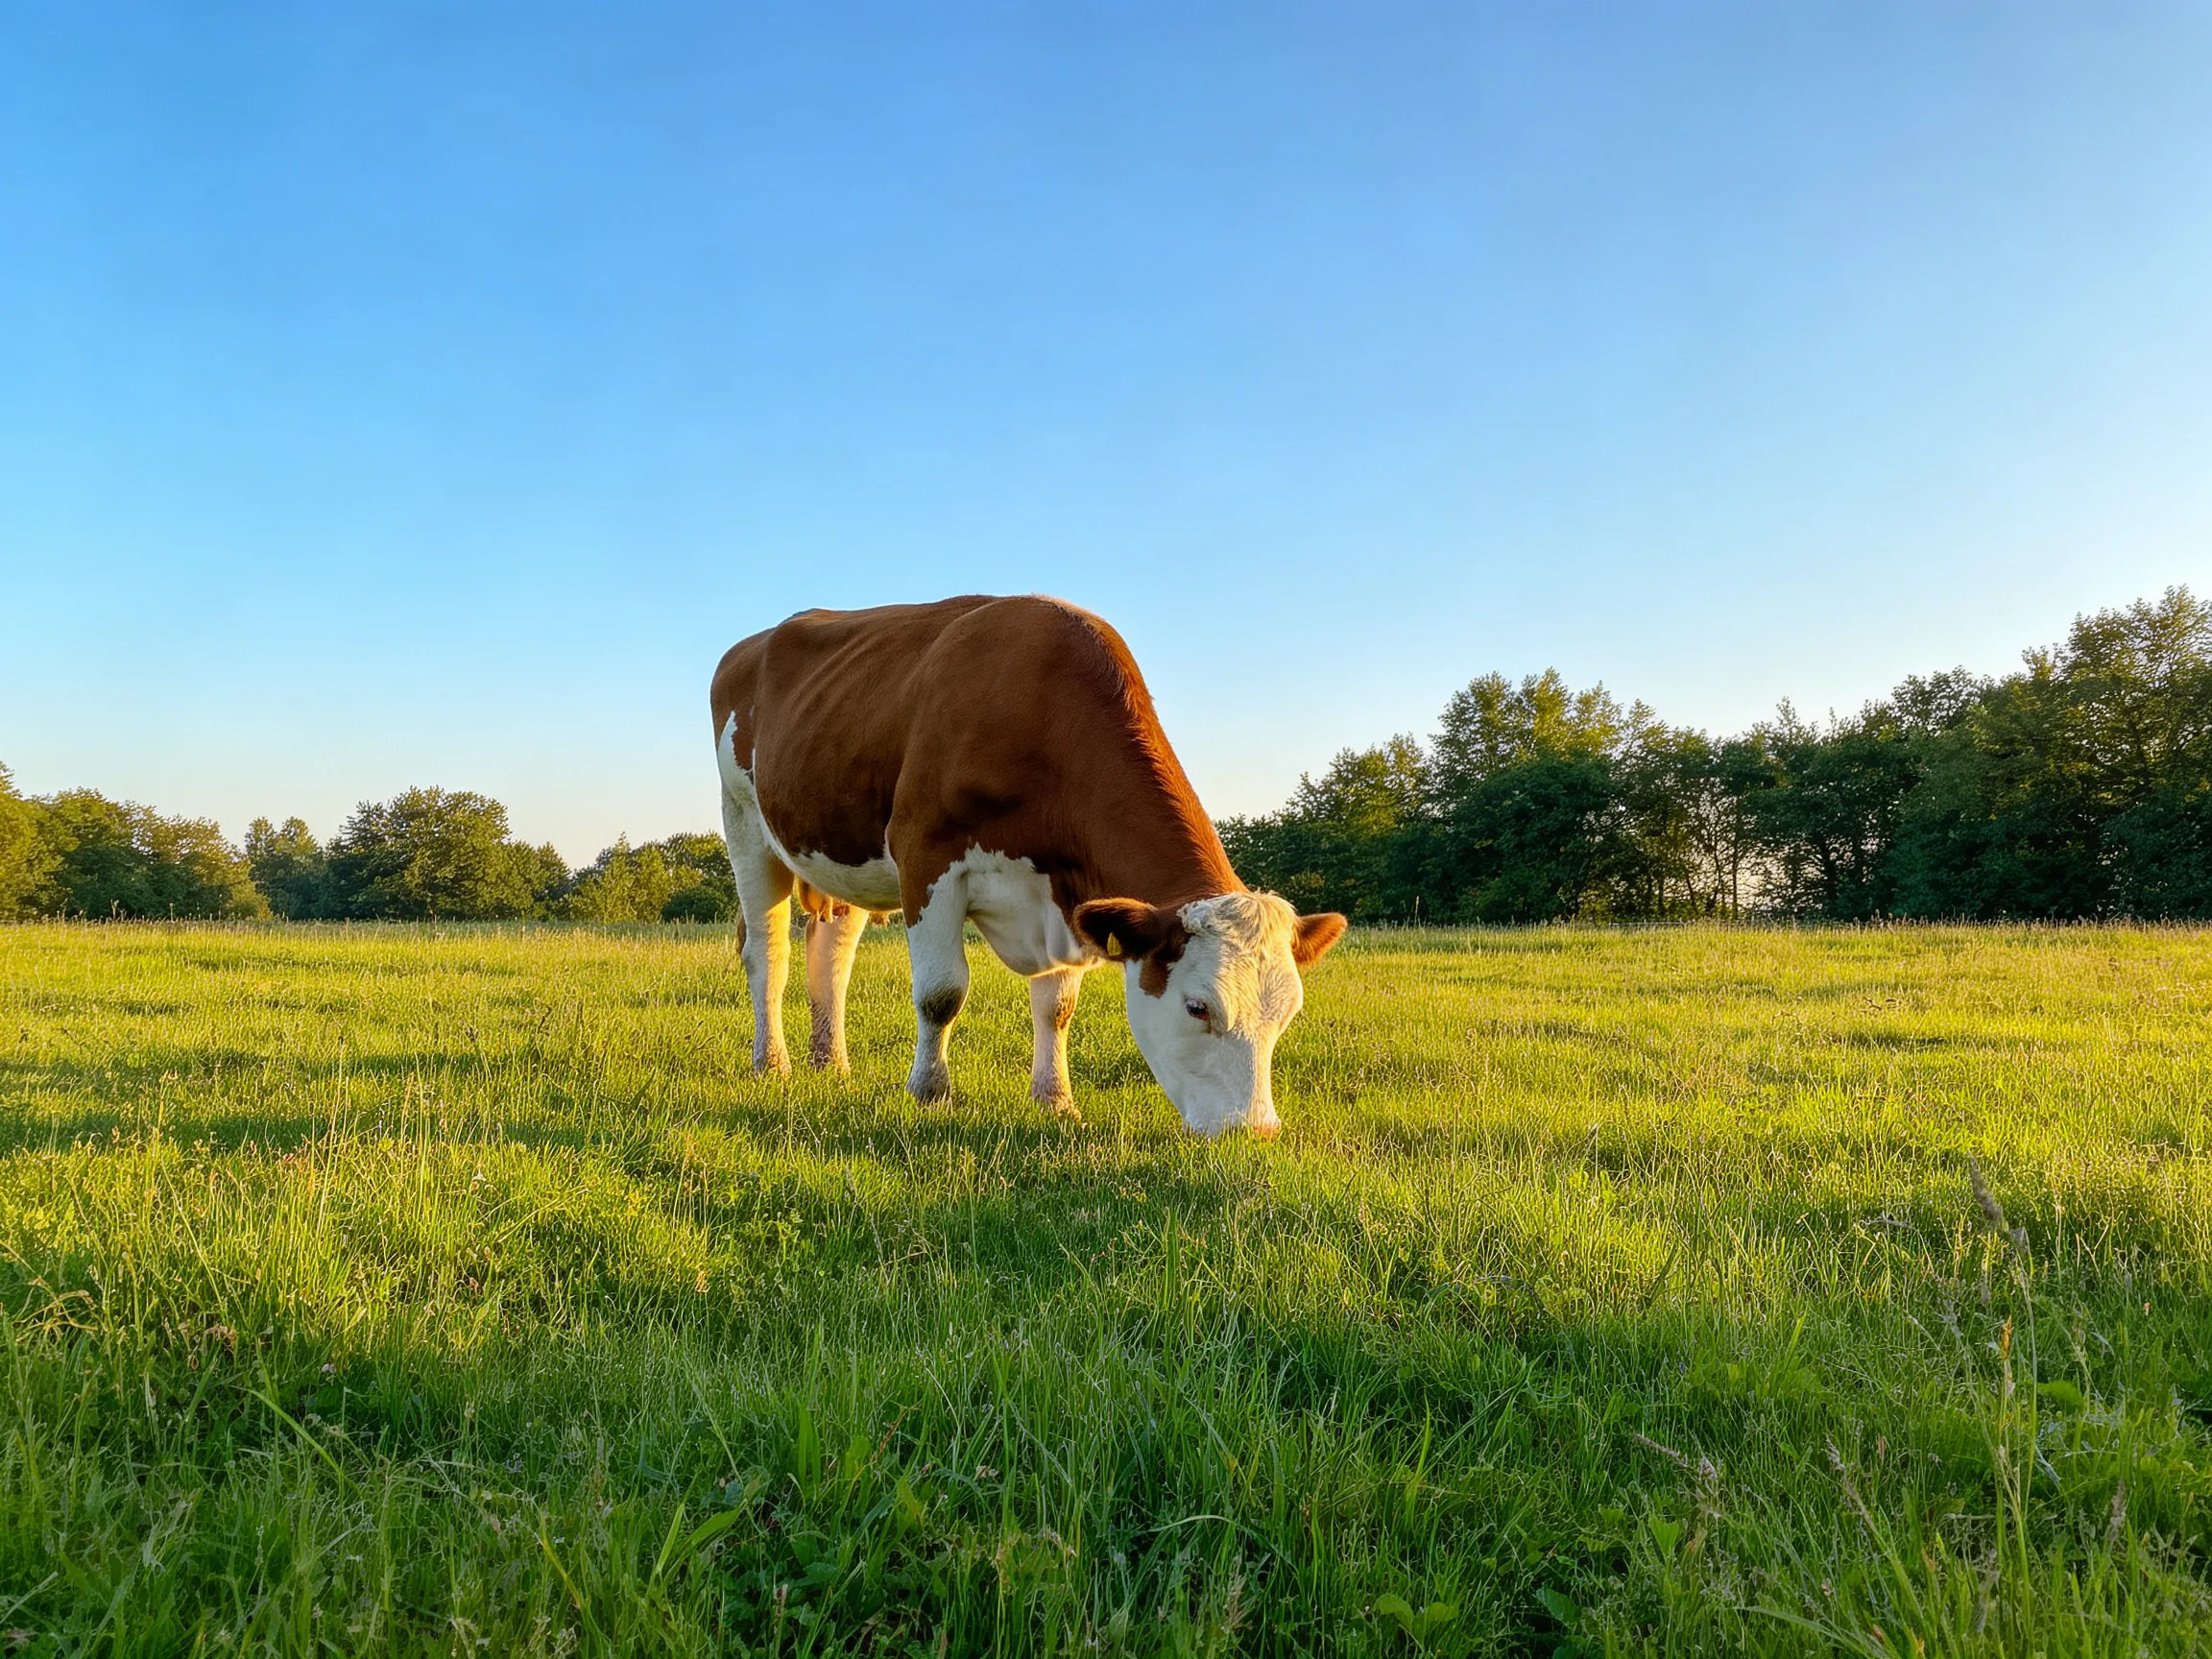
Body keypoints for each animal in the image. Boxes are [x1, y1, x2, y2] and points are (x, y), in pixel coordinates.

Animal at [710, 595, 1347, 1137]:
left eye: (1289, 1013)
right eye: (1198, 1006)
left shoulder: (1066, 900)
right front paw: (929, 1093)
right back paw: (773, 1063)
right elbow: (941, 993)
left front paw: (1056, 1100)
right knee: (768, 954)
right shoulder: (926, 856)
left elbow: (1057, 1007)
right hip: (744, 824)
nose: (1256, 1131)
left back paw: (831, 1063)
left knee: (831, 954)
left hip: (839, 848)